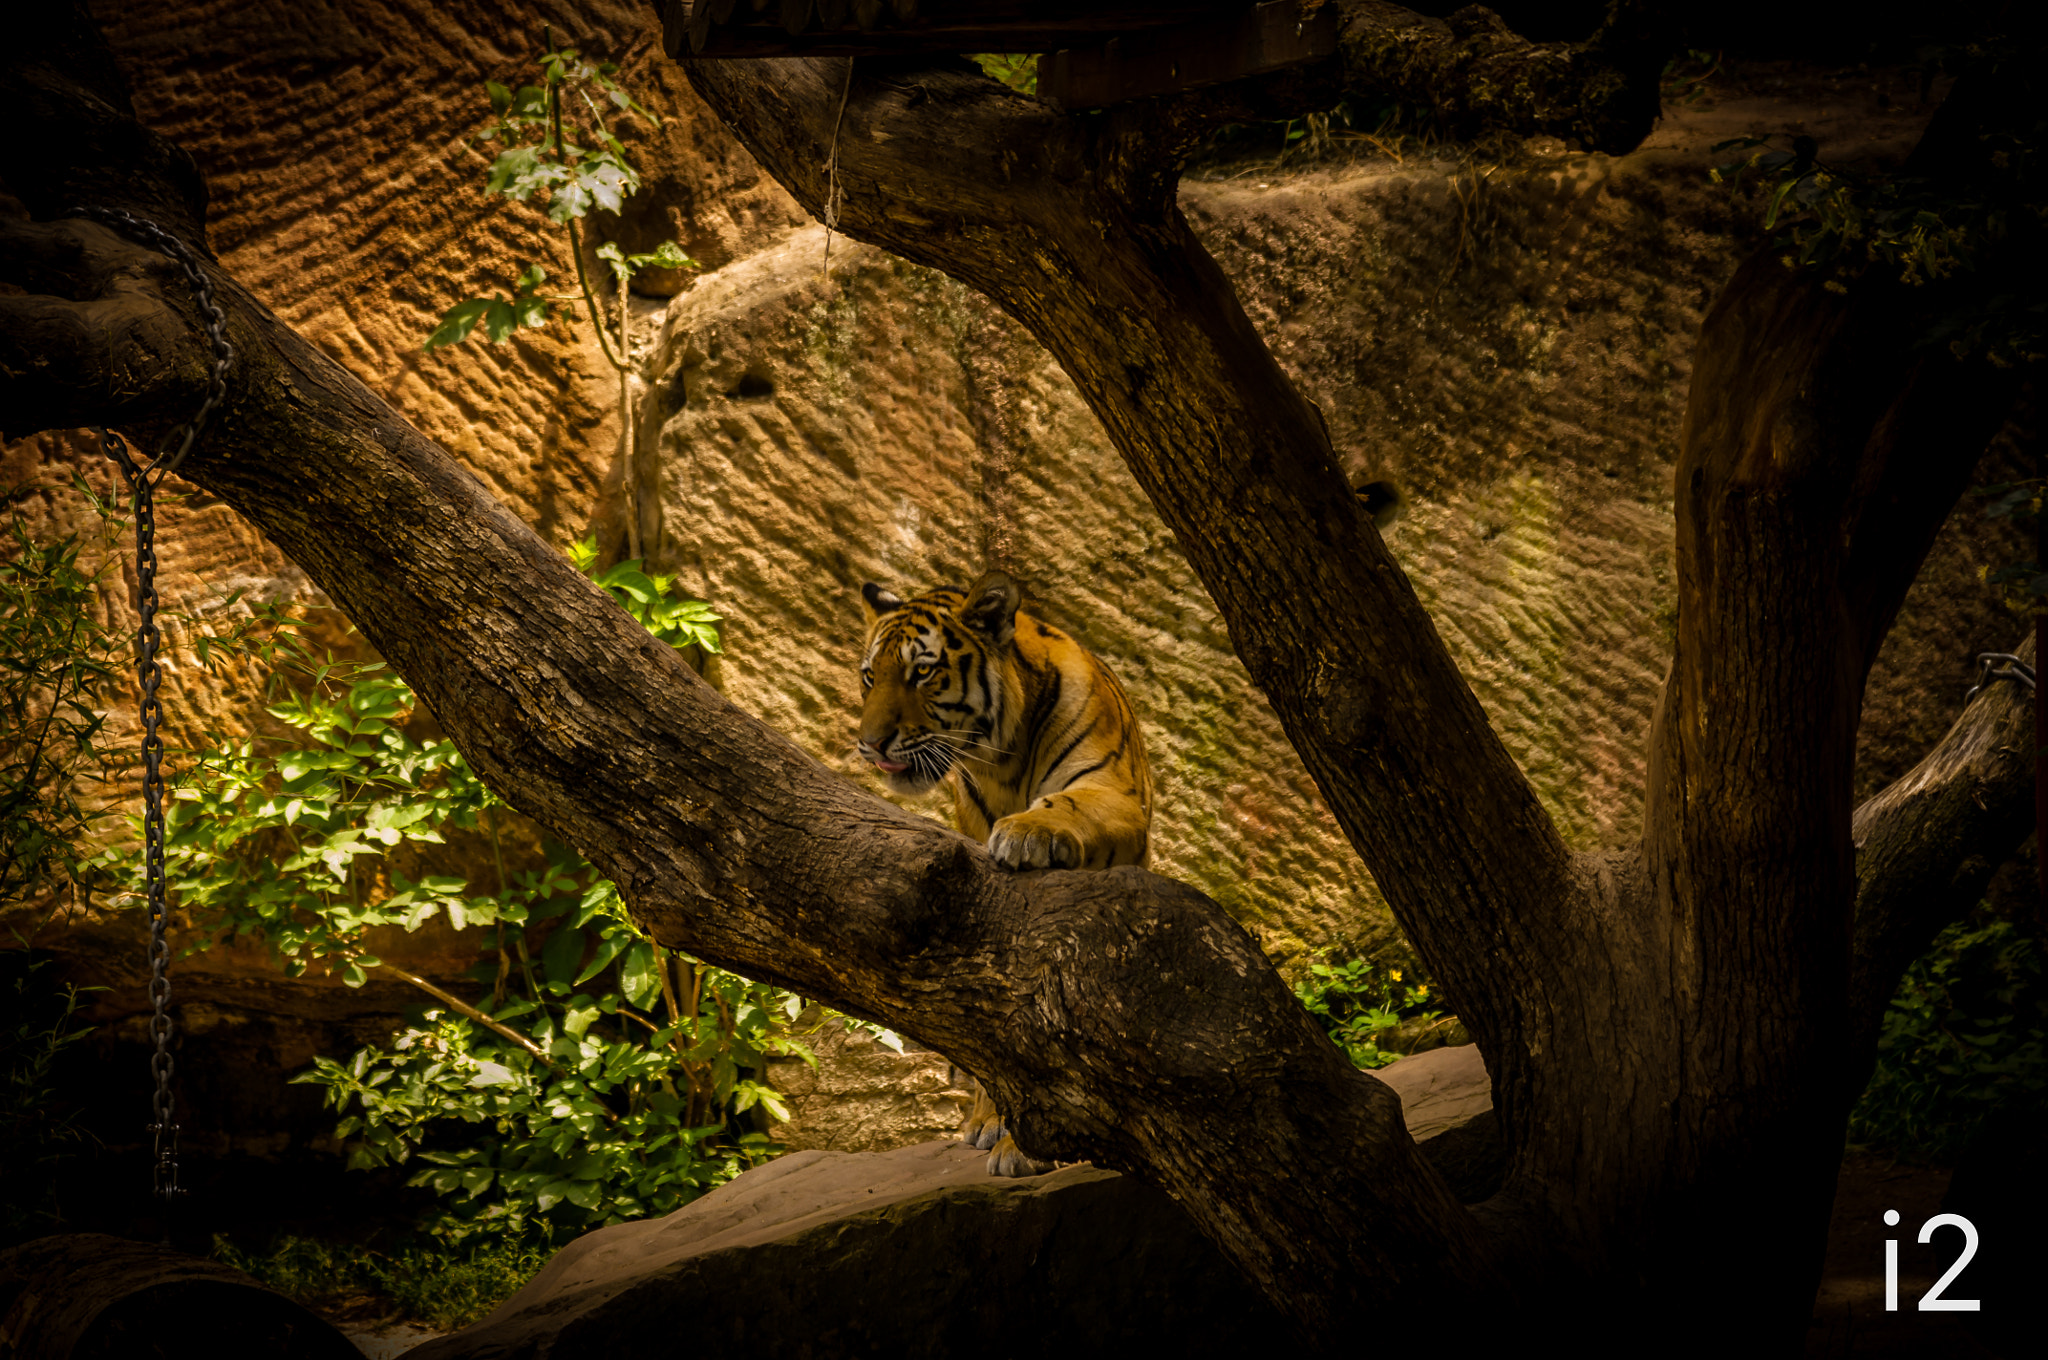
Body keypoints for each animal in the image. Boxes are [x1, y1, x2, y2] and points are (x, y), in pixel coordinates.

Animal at [855, 569, 1153, 1175]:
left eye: (922, 672)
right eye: (870, 677)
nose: (871, 745)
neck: (1001, 756)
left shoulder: (1113, 793)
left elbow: (1068, 805)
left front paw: (1027, 832)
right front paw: (1004, 1131)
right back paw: (989, 1121)